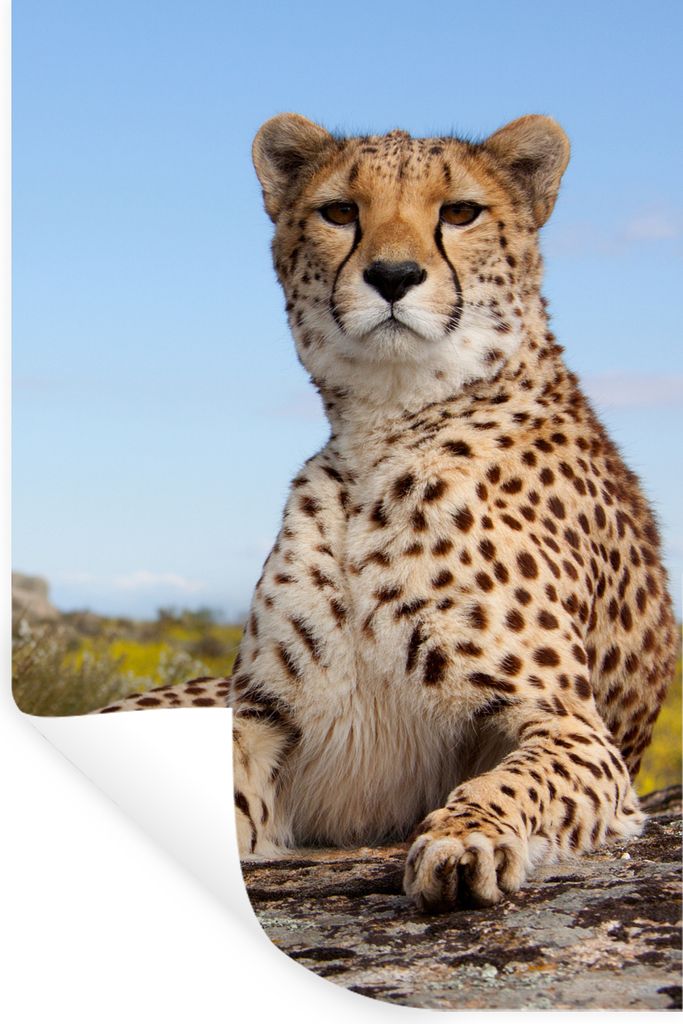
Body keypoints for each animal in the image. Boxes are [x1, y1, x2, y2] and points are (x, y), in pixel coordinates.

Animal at [99, 113, 677, 913]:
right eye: (340, 212)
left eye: (459, 212)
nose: (394, 276)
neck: (386, 425)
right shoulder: (260, 717)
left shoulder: (569, 726)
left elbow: (514, 780)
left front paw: (466, 838)